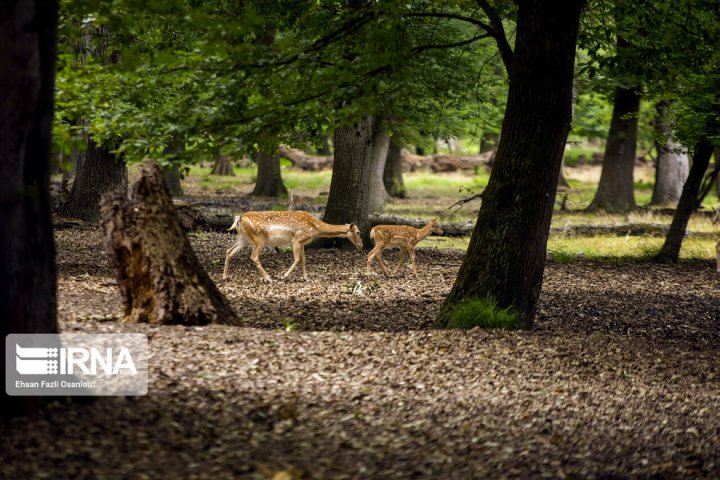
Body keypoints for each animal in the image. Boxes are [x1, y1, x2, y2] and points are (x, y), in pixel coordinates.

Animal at [222, 212, 362, 284]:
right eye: (358, 232)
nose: (361, 245)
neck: (315, 228)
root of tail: (239, 218)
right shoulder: (297, 239)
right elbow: (297, 259)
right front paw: (283, 276)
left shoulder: (303, 242)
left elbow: (304, 259)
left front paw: (306, 278)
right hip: (259, 238)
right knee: (254, 256)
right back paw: (268, 278)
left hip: (244, 238)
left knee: (229, 251)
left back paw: (225, 277)